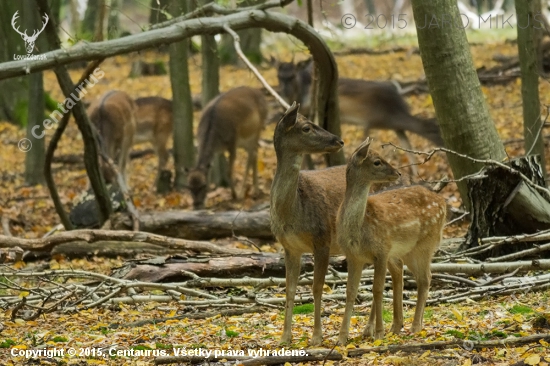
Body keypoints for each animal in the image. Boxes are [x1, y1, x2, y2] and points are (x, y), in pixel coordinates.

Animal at [270, 101, 344, 344]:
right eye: (306, 128)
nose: (339, 141)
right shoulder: (289, 247)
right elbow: (290, 289)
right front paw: (284, 338)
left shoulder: (323, 239)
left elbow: (317, 287)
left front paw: (317, 337)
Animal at [336, 138, 448, 344]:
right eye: (377, 162)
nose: (398, 173)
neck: (359, 228)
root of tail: (442, 201)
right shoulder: (353, 256)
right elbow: (351, 292)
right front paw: (342, 337)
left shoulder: (381, 251)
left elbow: (377, 289)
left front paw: (378, 333)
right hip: (402, 251)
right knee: (403, 273)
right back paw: (398, 326)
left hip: (425, 244)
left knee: (425, 278)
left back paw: (415, 326)